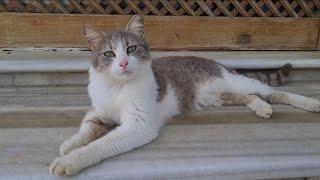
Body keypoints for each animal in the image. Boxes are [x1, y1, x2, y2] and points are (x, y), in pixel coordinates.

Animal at [48, 15, 318, 176]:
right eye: (109, 54)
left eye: (131, 49)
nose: (123, 63)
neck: (117, 87)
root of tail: (217, 62)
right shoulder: (98, 112)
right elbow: (87, 129)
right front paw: (70, 144)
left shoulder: (139, 125)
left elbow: (100, 145)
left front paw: (69, 161)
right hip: (216, 97)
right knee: (250, 97)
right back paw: (261, 108)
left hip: (236, 82)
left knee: (274, 92)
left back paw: (310, 103)